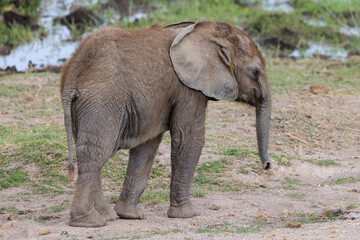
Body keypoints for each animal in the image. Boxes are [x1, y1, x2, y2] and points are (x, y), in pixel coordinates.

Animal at [61, 19, 270, 228]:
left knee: (90, 152)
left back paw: (108, 215)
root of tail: (71, 74)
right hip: (103, 102)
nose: (267, 166)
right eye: (256, 71)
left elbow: (146, 147)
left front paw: (130, 215)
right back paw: (90, 222)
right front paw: (188, 215)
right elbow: (189, 139)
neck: (207, 30)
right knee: (95, 154)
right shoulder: (188, 88)